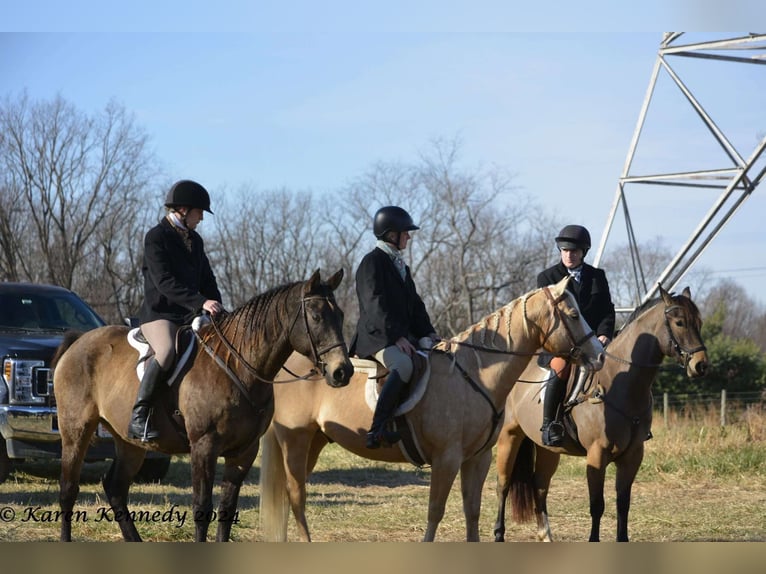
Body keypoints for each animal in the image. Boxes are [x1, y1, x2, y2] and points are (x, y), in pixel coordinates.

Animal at [54, 272, 354, 544]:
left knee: (115, 487)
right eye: (316, 317)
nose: (343, 371)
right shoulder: (204, 446)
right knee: (69, 488)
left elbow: (227, 509)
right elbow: (202, 508)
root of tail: (79, 340)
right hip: (76, 431)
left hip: (130, 443)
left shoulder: (244, 452)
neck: (238, 365)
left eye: (340, 315)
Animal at [260, 276, 608, 544]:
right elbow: (435, 511)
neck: (474, 374)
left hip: (314, 442)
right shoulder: (446, 458)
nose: (600, 355)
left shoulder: (477, 458)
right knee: (296, 495)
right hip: (295, 440)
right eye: (573, 314)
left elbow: (472, 511)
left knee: (292, 493)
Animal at [496, 286, 712, 544]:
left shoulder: (632, 456)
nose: (701, 365)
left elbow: (623, 503)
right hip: (509, 437)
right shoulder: (597, 455)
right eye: (679, 322)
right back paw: (498, 534)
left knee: (540, 486)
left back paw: (545, 535)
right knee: (503, 485)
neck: (619, 383)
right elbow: (597, 505)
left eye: (699, 322)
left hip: (547, 448)